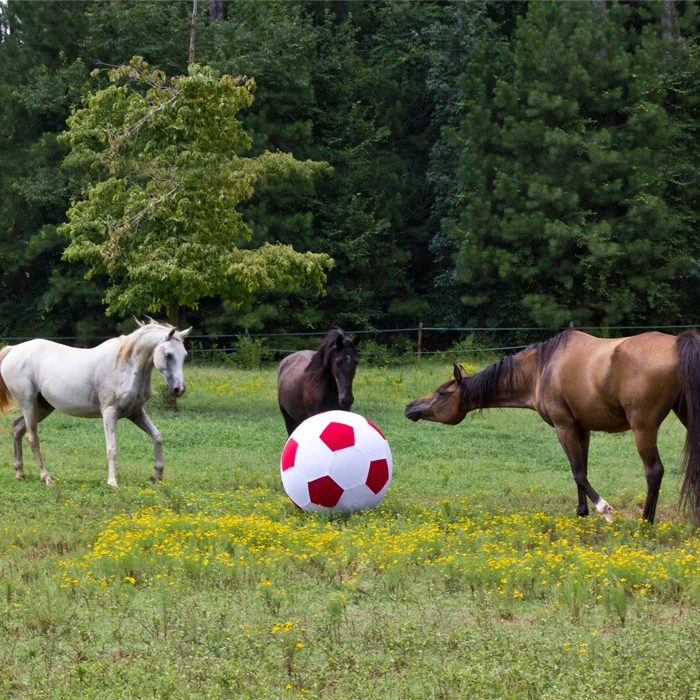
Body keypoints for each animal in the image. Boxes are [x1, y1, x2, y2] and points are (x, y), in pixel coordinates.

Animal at [0, 319, 191, 488]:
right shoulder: (110, 413)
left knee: (17, 427)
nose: (179, 389)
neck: (125, 367)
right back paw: (46, 477)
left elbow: (157, 436)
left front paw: (157, 475)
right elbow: (111, 449)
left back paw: (20, 472)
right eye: (168, 355)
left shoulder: (135, 412)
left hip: (43, 407)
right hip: (29, 404)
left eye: (184, 355)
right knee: (32, 438)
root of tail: (13, 349)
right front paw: (112, 483)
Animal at [404, 329, 700, 524]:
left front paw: (603, 509)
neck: (541, 369)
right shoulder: (582, 428)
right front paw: (582, 512)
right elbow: (582, 470)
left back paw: (646, 524)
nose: (410, 407)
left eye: (442, 392)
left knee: (654, 471)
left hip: (644, 429)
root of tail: (678, 343)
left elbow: (578, 473)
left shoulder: (564, 426)